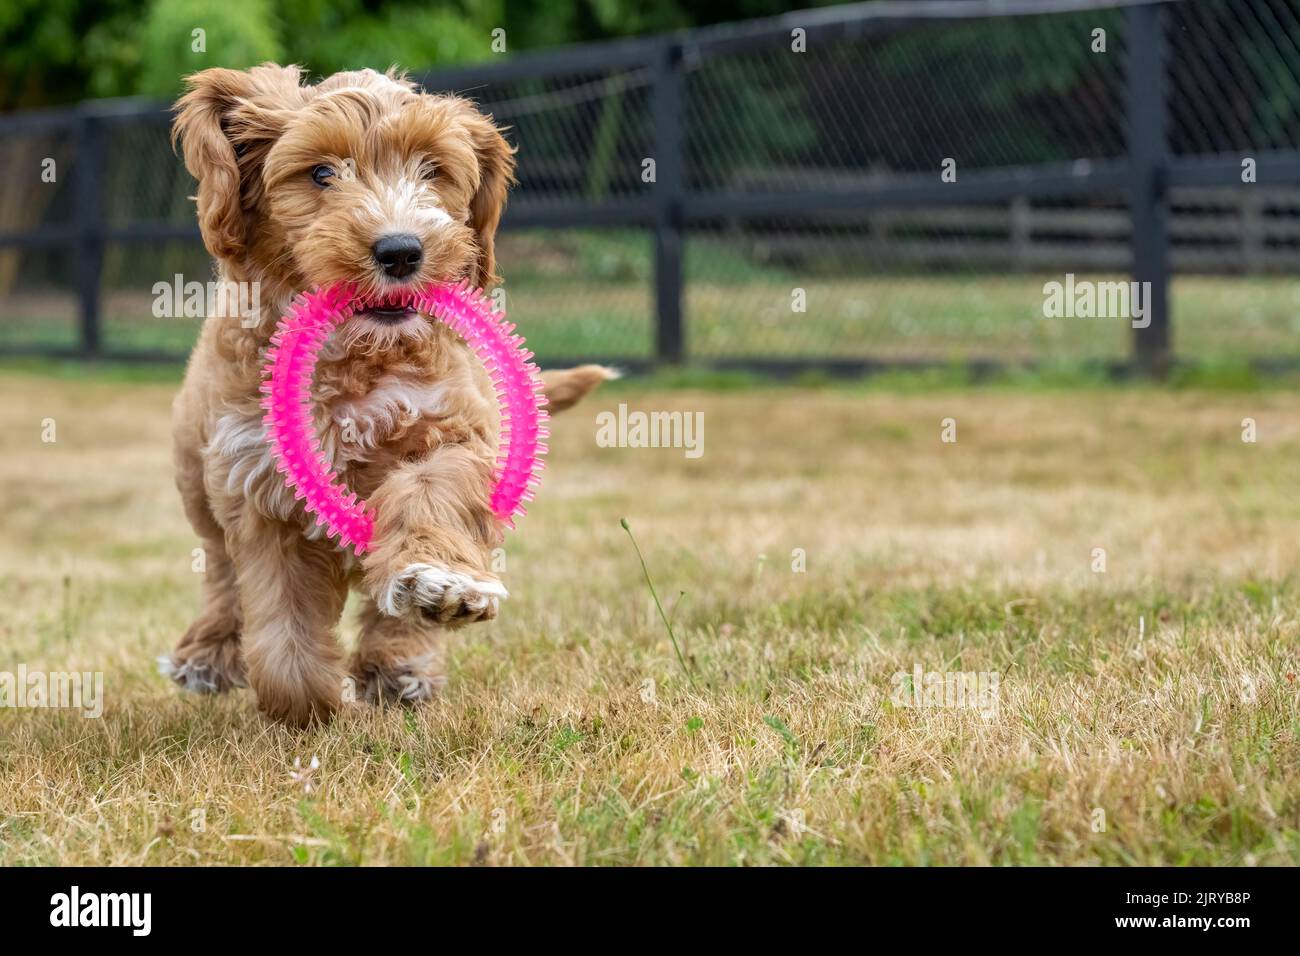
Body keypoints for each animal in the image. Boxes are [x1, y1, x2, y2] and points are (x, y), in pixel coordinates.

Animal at [161, 65, 608, 723]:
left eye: (433, 170)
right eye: (322, 173)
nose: (400, 250)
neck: (359, 360)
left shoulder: (451, 427)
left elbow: (431, 494)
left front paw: (436, 582)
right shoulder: (259, 478)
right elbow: (281, 617)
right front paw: (307, 703)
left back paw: (402, 661)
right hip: (197, 477)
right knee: (219, 568)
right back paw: (208, 654)